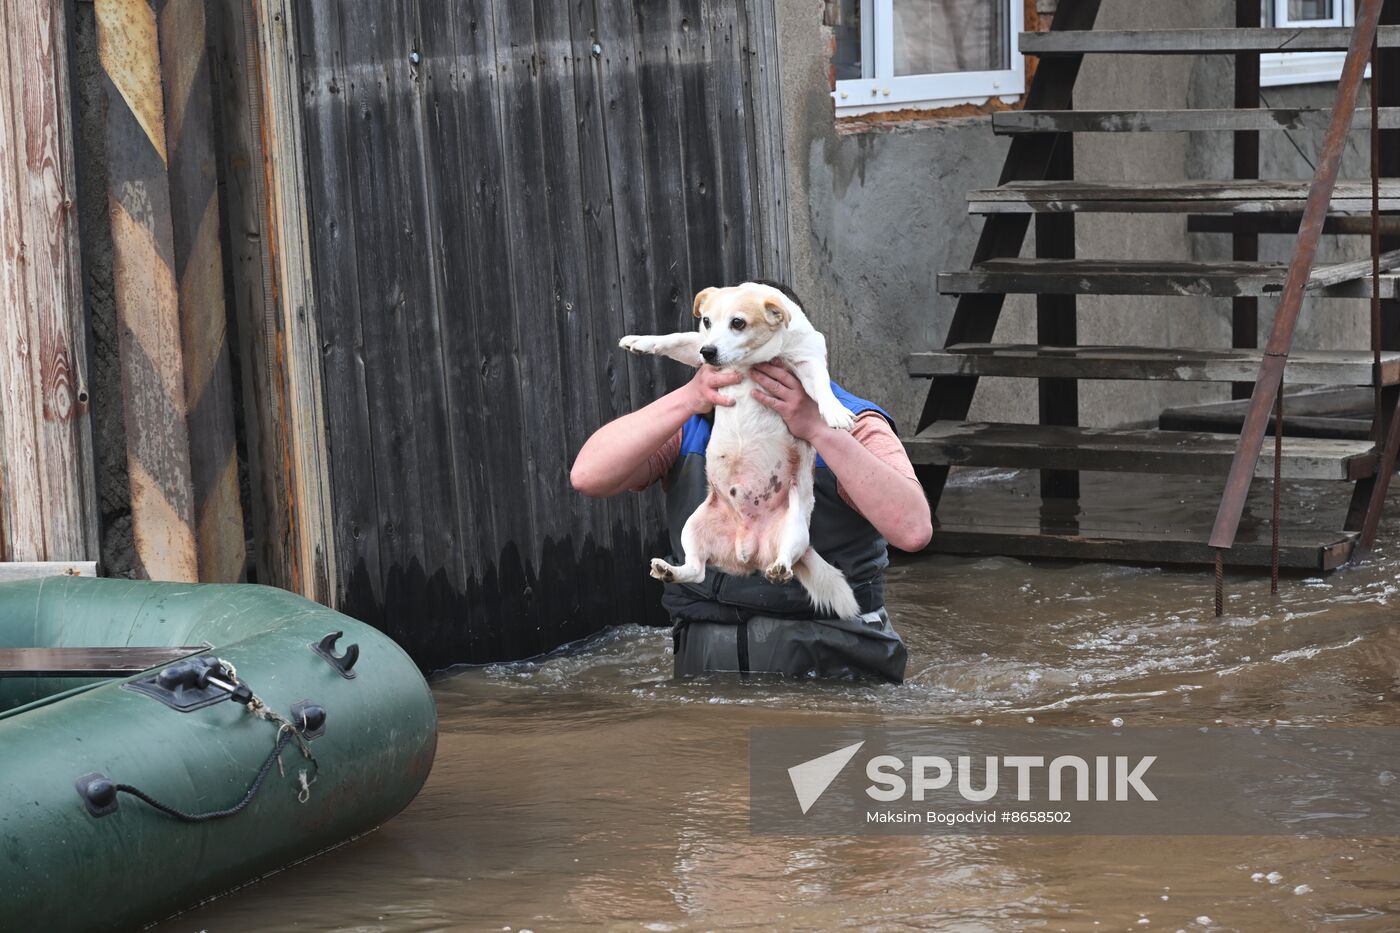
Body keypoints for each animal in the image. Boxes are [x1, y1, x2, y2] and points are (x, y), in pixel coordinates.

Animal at [618, 280, 856, 622]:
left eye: (738, 323)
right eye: (706, 321)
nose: (709, 352)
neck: (749, 361)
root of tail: (748, 549)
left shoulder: (807, 360)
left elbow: (822, 387)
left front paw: (834, 411)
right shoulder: (697, 345)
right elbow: (676, 337)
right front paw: (640, 341)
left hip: (796, 529)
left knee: (784, 558)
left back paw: (780, 568)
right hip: (693, 527)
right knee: (696, 570)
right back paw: (669, 571)